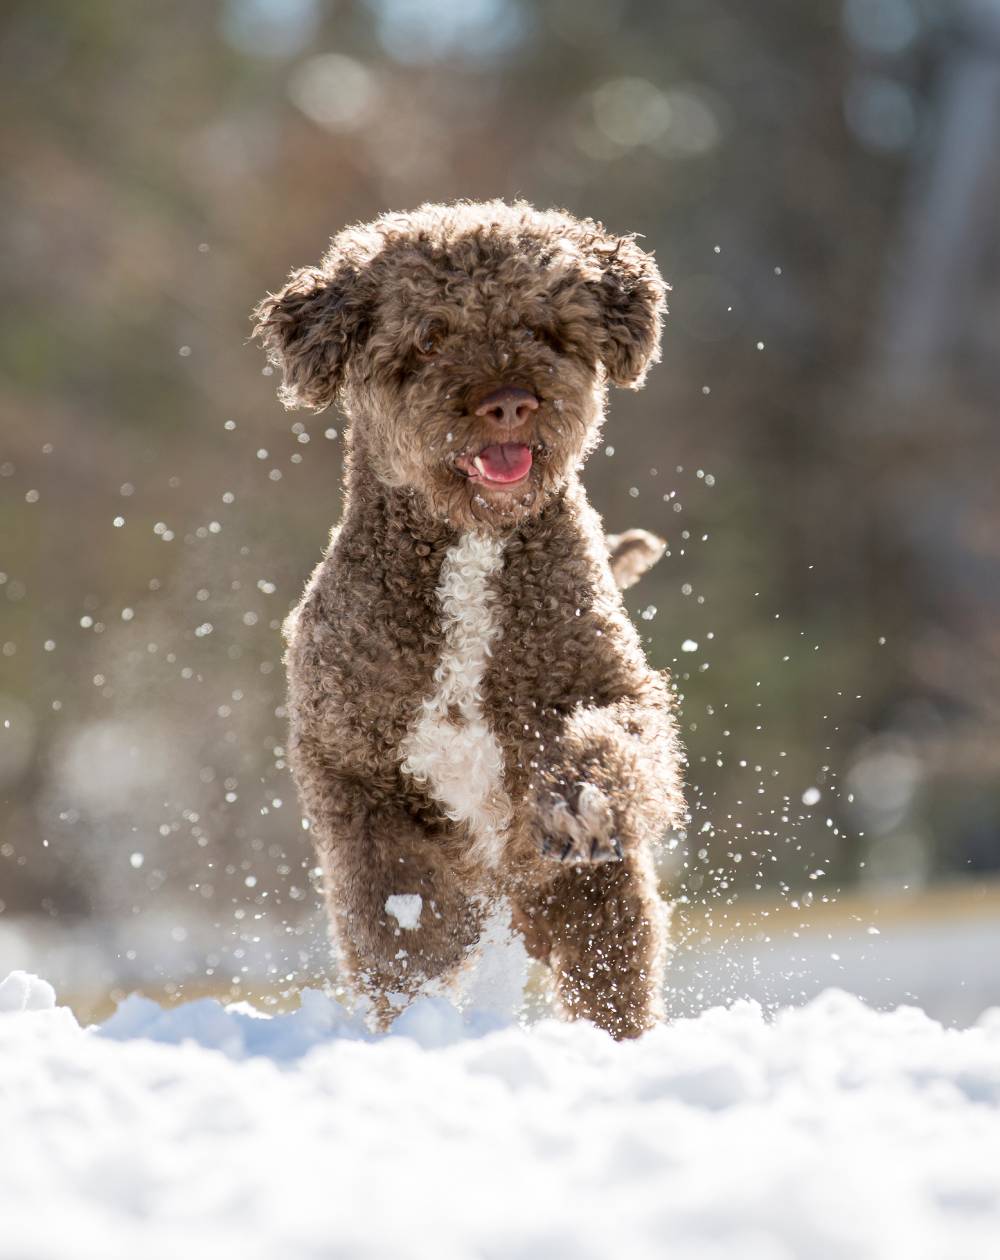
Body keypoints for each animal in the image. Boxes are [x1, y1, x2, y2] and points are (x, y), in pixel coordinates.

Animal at [253, 199, 680, 1043]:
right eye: (430, 335)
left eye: (545, 325)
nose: (509, 401)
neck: (472, 550)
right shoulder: (356, 765)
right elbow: (400, 915)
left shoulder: (611, 687)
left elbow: (613, 742)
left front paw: (577, 804)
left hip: (590, 904)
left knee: (612, 976)